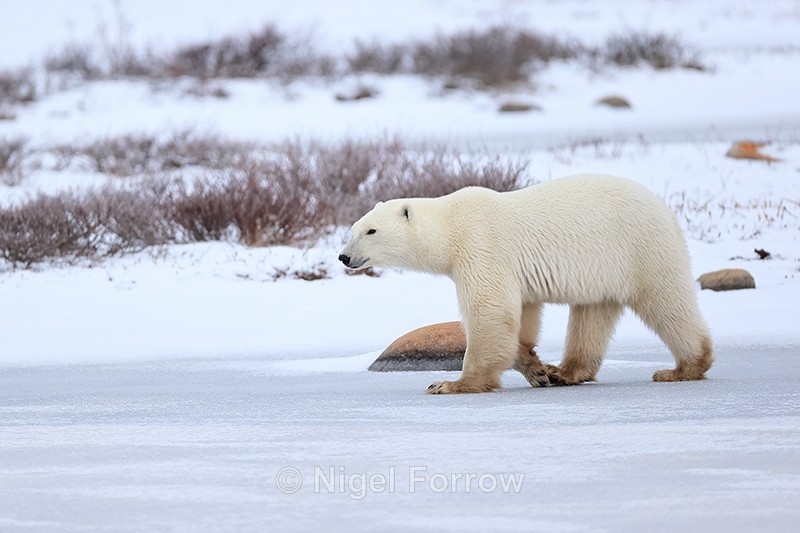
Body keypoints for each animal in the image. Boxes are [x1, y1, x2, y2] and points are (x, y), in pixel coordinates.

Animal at [338, 174, 713, 394]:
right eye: (353, 228)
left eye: (371, 230)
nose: (343, 256)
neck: (451, 225)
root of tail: (665, 208)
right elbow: (521, 316)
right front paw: (538, 371)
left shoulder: (481, 246)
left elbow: (489, 311)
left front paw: (450, 383)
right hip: (606, 269)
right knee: (592, 314)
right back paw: (566, 372)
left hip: (640, 248)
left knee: (666, 302)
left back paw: (681, 368)